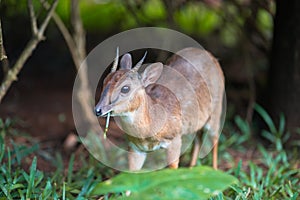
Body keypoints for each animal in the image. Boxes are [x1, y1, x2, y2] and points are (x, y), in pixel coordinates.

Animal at [95, 47, 224, 171]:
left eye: (125, 88)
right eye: (104, 81)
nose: (98, 110)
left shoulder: (175, 139)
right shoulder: (135, 148)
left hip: (216, 109)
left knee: (215, 136)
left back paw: (215, 171)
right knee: (198, 137)